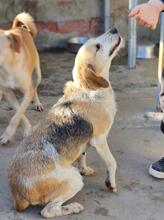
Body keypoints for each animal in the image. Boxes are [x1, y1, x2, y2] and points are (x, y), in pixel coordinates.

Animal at [0, 12, 43, 144]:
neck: (7, 67)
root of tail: (19, 28)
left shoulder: (28, 91)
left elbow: (17, 116)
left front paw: (8, 134)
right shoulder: (7, 92)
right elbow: (19, 112)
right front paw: (27, 128)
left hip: (37, 75)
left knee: (35, 89)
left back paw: (37, 103)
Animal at [7, 27, 123, 217]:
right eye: (97, 47)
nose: (114, 29)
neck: (88, 89)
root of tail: (18, 194)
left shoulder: (84, 141)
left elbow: (82, 155)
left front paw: (85, 168)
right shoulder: (99, 139)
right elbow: (112, 162)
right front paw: (111, 183)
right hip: (73, 180)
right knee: (48, 211)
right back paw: (73, 207)